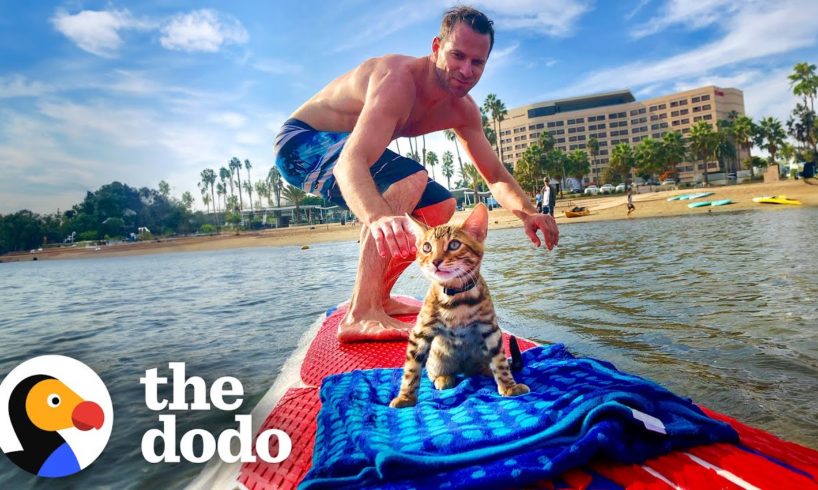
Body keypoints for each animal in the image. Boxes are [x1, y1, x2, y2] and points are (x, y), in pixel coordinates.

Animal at [388, 204, 528, 410]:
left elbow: (500, 360)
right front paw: (406, 397)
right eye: (427, 247)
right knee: (435, 372)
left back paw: (485, 370)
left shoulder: (490, 329)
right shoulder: (421, 331)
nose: (435, 261)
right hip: (437, 358)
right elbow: (411, 368)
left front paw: (509, 386)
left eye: (454, 245)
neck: (456, 299)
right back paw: (443, 378)